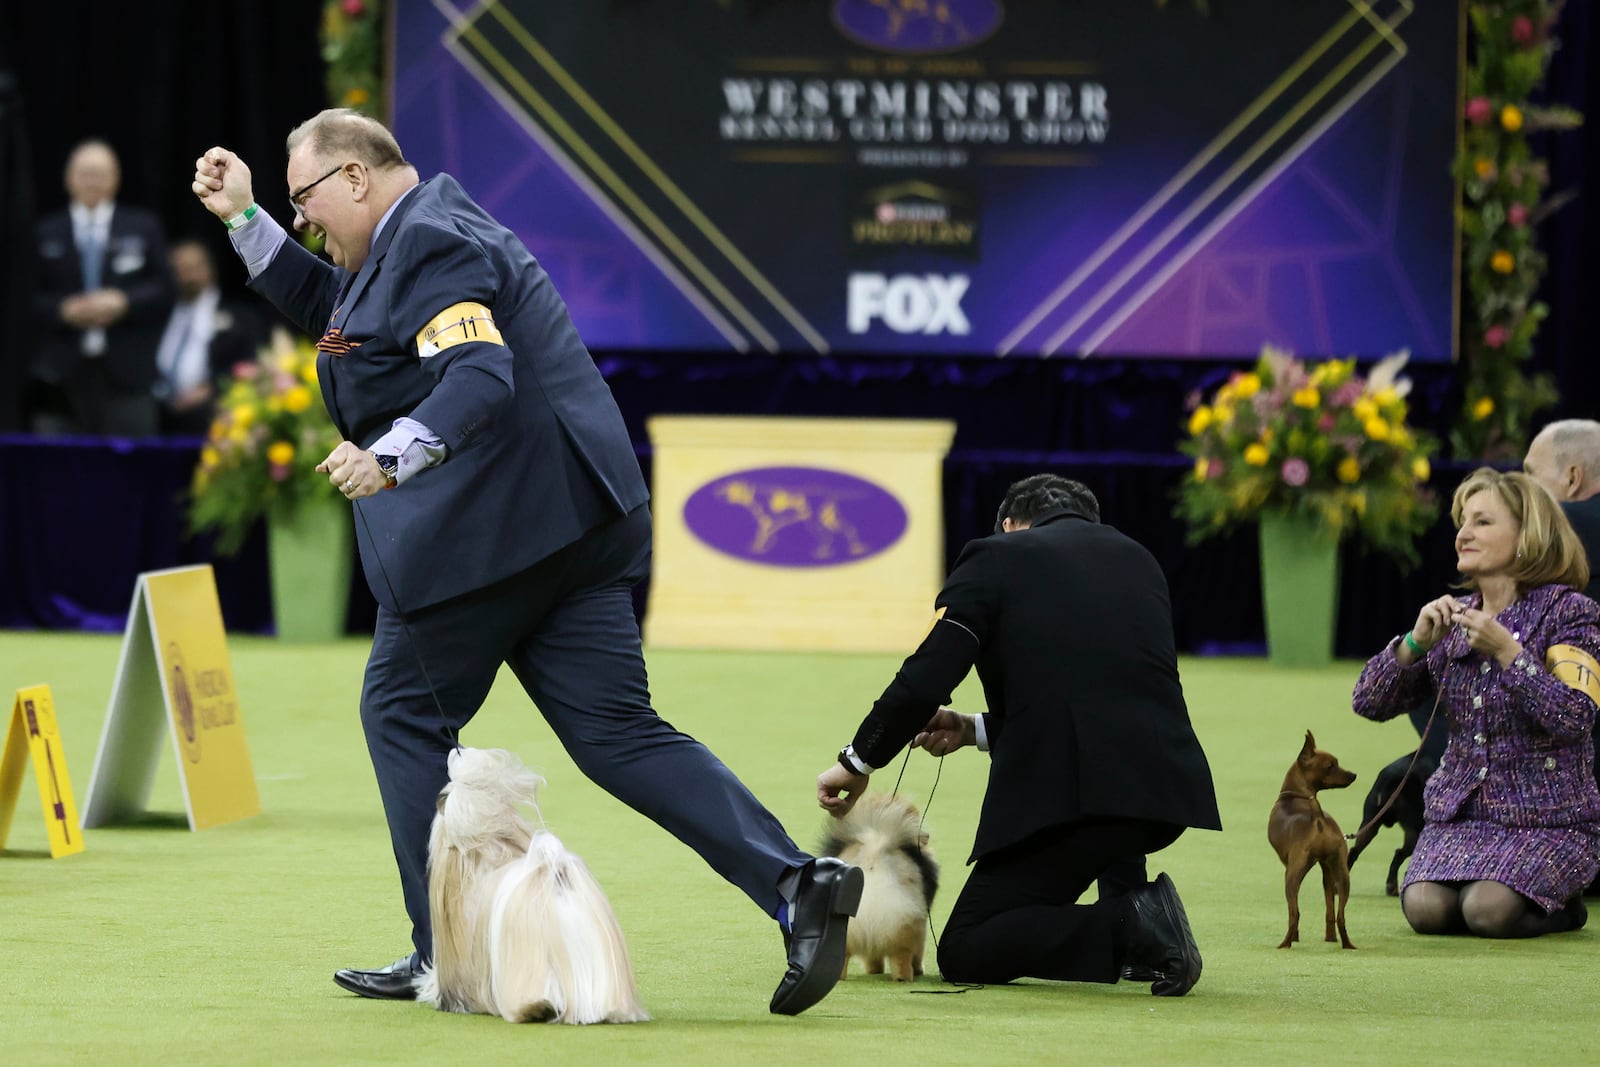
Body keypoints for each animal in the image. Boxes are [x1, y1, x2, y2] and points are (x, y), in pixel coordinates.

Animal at [819, 796, 934, 979]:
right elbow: (918, 953)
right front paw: (919, 970)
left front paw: (874, 970)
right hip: (907, 931)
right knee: (903, 959)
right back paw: (905, 977)